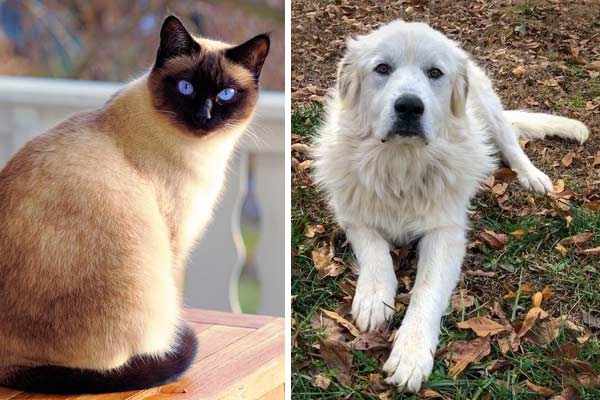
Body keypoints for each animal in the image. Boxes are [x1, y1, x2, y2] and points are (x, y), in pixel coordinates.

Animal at [314, 20, 592, 392]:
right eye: (382, 69)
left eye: (434, 72)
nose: (409, 107)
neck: (401, 164)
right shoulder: (352, 213)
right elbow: (374, 250)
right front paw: (374, 297)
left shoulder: (444, 233)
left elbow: (427, 290)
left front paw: (411, 353)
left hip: (489, 110)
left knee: (511, 145)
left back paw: (533, 177)